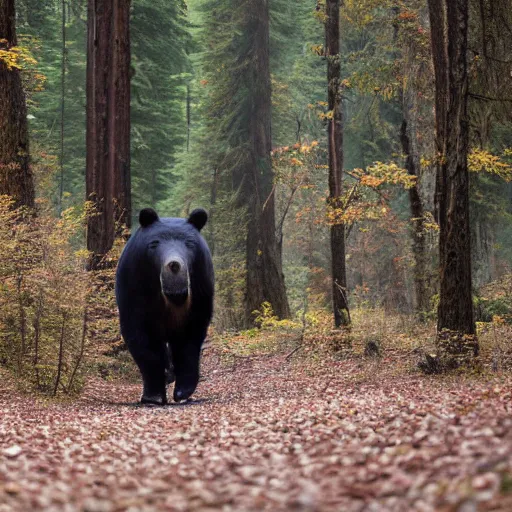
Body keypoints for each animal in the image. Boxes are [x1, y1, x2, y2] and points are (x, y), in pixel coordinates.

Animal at [115, 207, 213, 404]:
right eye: (154, 244)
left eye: (190, 244)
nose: (174, 265)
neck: (172, 300)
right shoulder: (135, 292)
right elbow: (143, 343)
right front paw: (153, 395)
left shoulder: (199, 296)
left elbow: (188, 343)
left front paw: (183, 391)